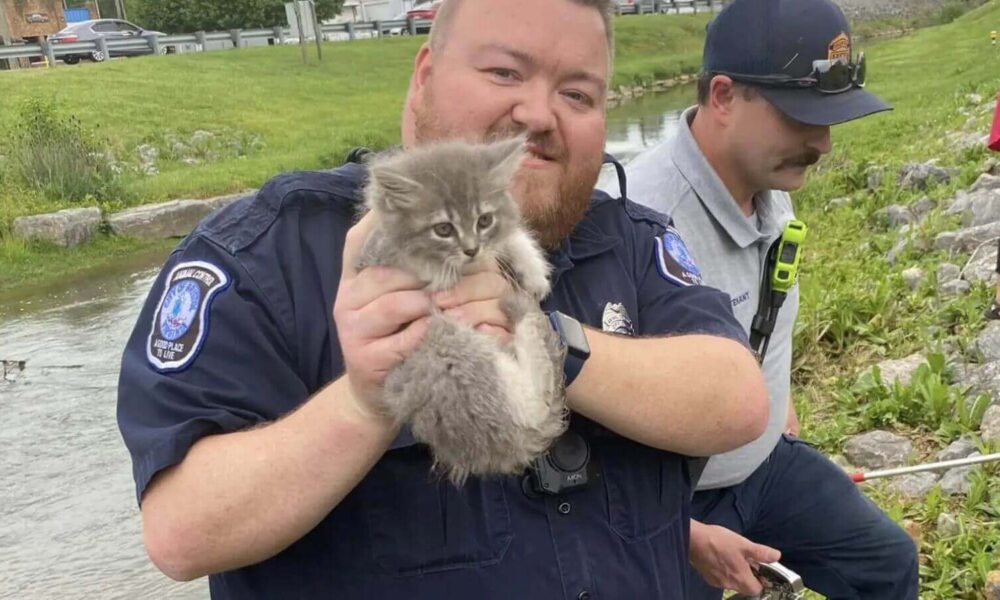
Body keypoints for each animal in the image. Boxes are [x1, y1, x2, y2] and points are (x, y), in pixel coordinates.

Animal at [356, 138, 568, 486]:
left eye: (484, 220)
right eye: (443, 229)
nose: (471, 249)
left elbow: (511, 237)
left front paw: (534, 269)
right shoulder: (384, 255)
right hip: (448, 345)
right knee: (529, 410)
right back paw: (523, 317)